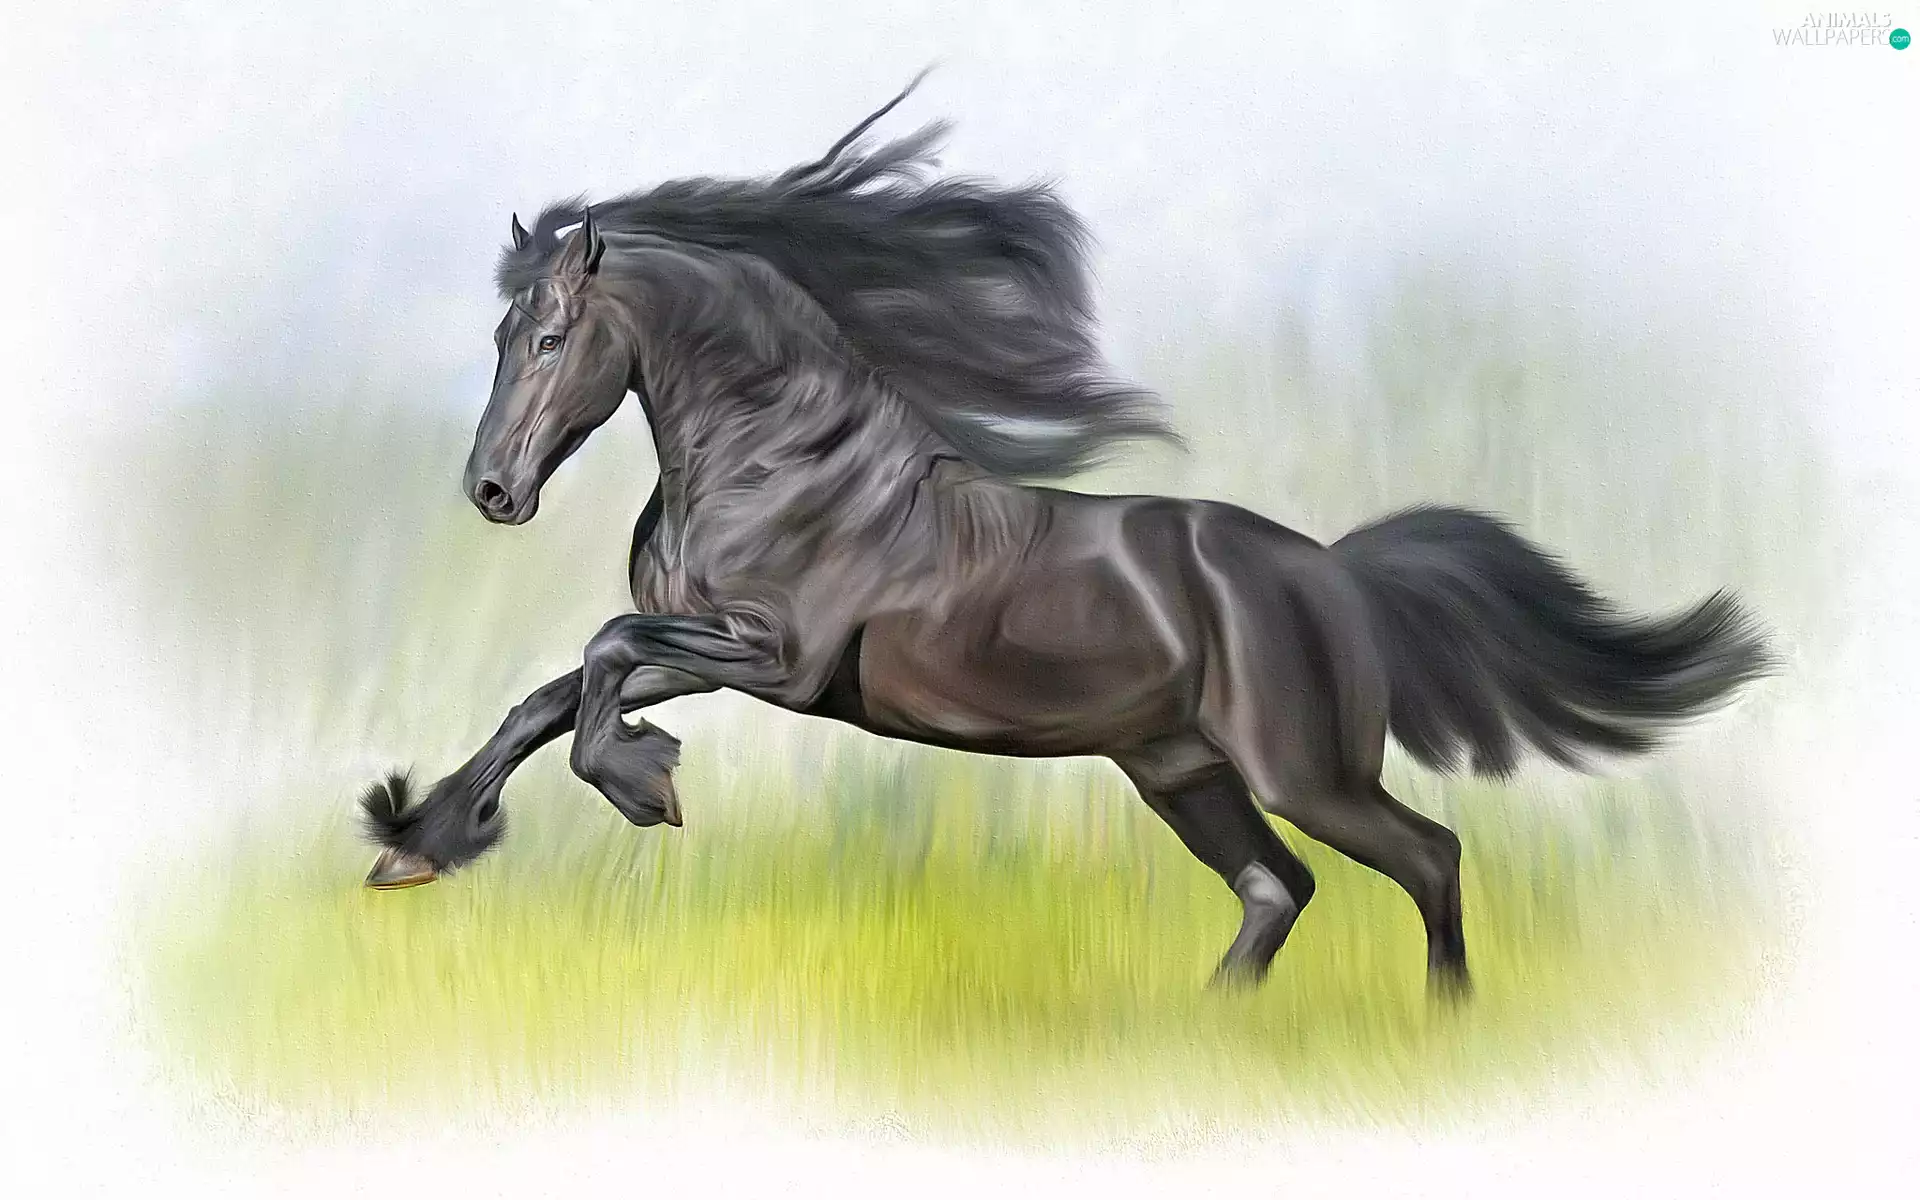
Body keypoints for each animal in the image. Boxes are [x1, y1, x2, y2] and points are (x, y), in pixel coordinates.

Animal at [360, 82, 1772, 997]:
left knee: (1427, 855)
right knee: (1277, 891)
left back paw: (1442, 1026)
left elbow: (599, 653)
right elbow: (549, 694)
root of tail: (1334, 573)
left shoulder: (778, 660)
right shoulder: (714, 652)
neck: (778, 456)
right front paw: (421, 846)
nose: (493, 491)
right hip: (1180, 772)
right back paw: (1203, 1033)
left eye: (550, 337)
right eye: (500, 336)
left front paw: (645, 785)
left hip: (1304, 771)